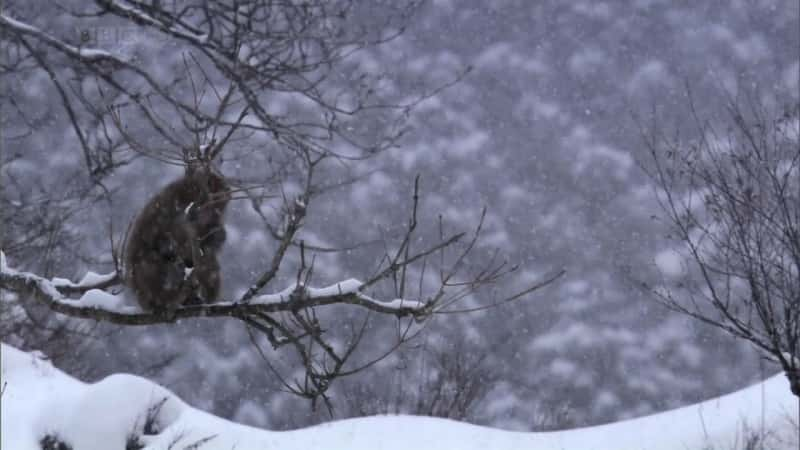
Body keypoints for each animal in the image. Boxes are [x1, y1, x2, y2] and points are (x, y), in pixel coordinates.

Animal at [125, 163, 231, 314]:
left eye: (219, 210)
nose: (228, 191)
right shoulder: (173, 203)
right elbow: (171, 231)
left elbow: (209, 241)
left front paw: (217, 234)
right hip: (147, 281)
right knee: (156, 259)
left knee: (207, 260)